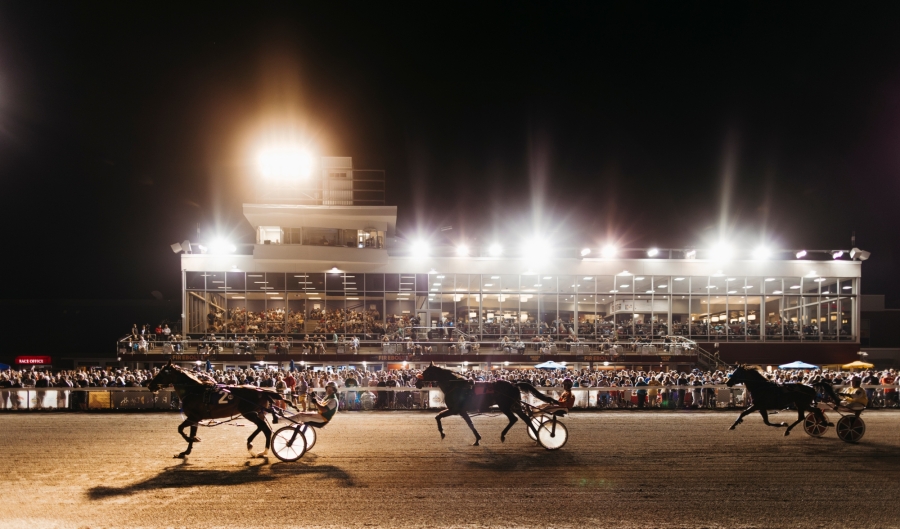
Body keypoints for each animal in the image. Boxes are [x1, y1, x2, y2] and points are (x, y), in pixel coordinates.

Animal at [148, 360, 288, 456]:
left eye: (161, 373)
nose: (150, 386)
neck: (194, 391)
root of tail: (263, 391)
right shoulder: (195, 419)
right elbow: (191, 432)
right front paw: (187, 450)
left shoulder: (193, 417)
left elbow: (180, 429)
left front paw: (191, 439)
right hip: (256, 413)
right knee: (263, 427)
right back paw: (252, 445)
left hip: (249, 413)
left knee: (265, 429)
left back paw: (261, 450)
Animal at [414, 360, 556, 444]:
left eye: (426, 372)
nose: (416, 383)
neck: (455, 385)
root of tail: (514, 383)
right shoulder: (461, 411)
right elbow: (469, 423)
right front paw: (477, 438)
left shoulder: (455, 409)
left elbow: (438, 417)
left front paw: (443, 433)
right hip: (515, 405)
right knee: (526, 418)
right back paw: (537, 436)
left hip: (505, 406)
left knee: (513, 419)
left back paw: (503, 435)